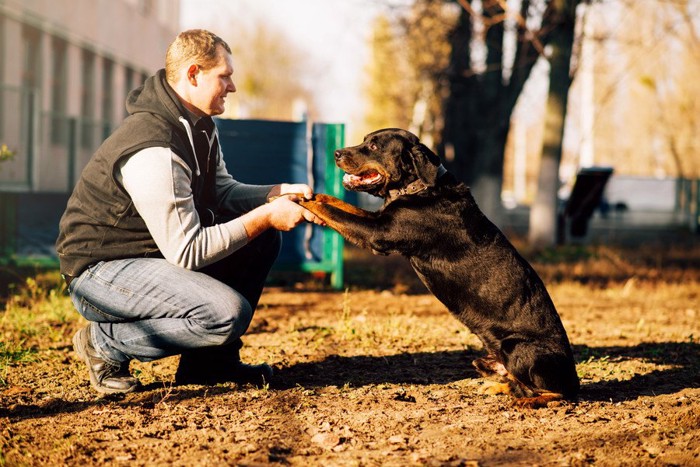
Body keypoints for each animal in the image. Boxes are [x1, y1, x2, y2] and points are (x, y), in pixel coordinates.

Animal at [300, 129, 580, 410]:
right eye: (365, 140)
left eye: (374, 146)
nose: (337, 153)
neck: (420, 187)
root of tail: (574, 380)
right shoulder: (379, 220)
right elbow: (337, 204)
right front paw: (311, 194)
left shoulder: (377, 233)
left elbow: (334, 212)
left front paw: (299, 200)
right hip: (483, 360)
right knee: (520, 384)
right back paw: (499, 388)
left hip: (517, 348)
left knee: (557, 394)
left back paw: (527, 401)